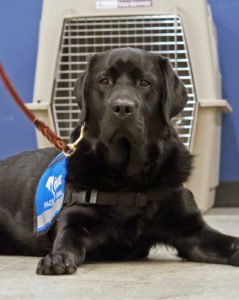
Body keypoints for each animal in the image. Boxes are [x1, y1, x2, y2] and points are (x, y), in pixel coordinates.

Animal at [0, 48, 239, 276]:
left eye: (144, 82)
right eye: (104, 81)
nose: (122, 107)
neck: (128, 177)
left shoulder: (190, 228)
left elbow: (227, 242)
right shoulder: (76, 217)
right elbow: (66, 239)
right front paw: (57, 258)